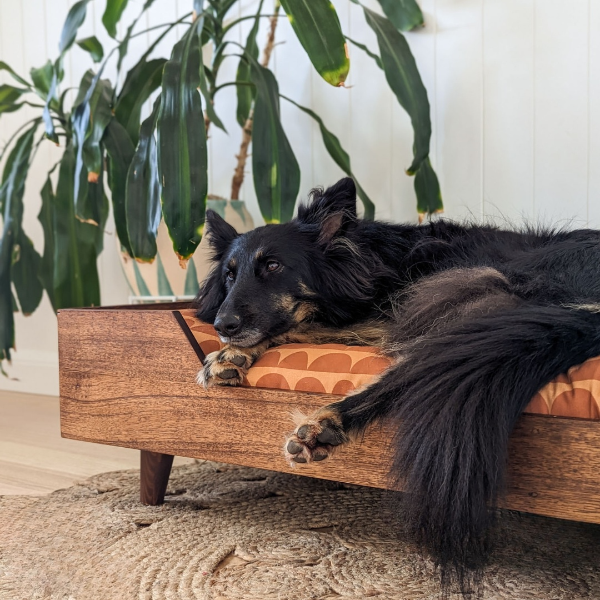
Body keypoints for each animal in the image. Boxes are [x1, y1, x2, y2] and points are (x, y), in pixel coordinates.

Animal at [195, 177, 600, 596]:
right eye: (229, 275)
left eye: (273, 266)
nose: (223, 325)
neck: (368, 257)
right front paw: (233, 355)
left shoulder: (392, 308)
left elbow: (303, 325)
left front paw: (229, 354)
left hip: (475, 288)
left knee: (422, 366)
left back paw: (329, 423)